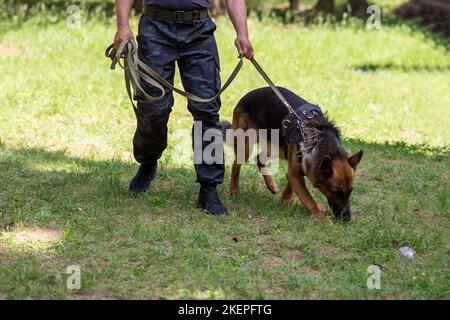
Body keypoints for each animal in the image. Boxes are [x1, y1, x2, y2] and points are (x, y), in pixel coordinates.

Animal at [223, 87, 364, 222]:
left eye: (350, 191)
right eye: (336, 192)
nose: (347, 218)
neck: (319, 141)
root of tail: (246, 96)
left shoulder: (298, 170)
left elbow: (293, 187)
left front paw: (285, 200)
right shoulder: (295, 173)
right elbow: (308, 198)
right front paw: (320, 217)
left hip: (275, 147)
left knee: (258, 158)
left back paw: (271, 184)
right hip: (246, 144)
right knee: (236, 165)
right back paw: (234, 189)